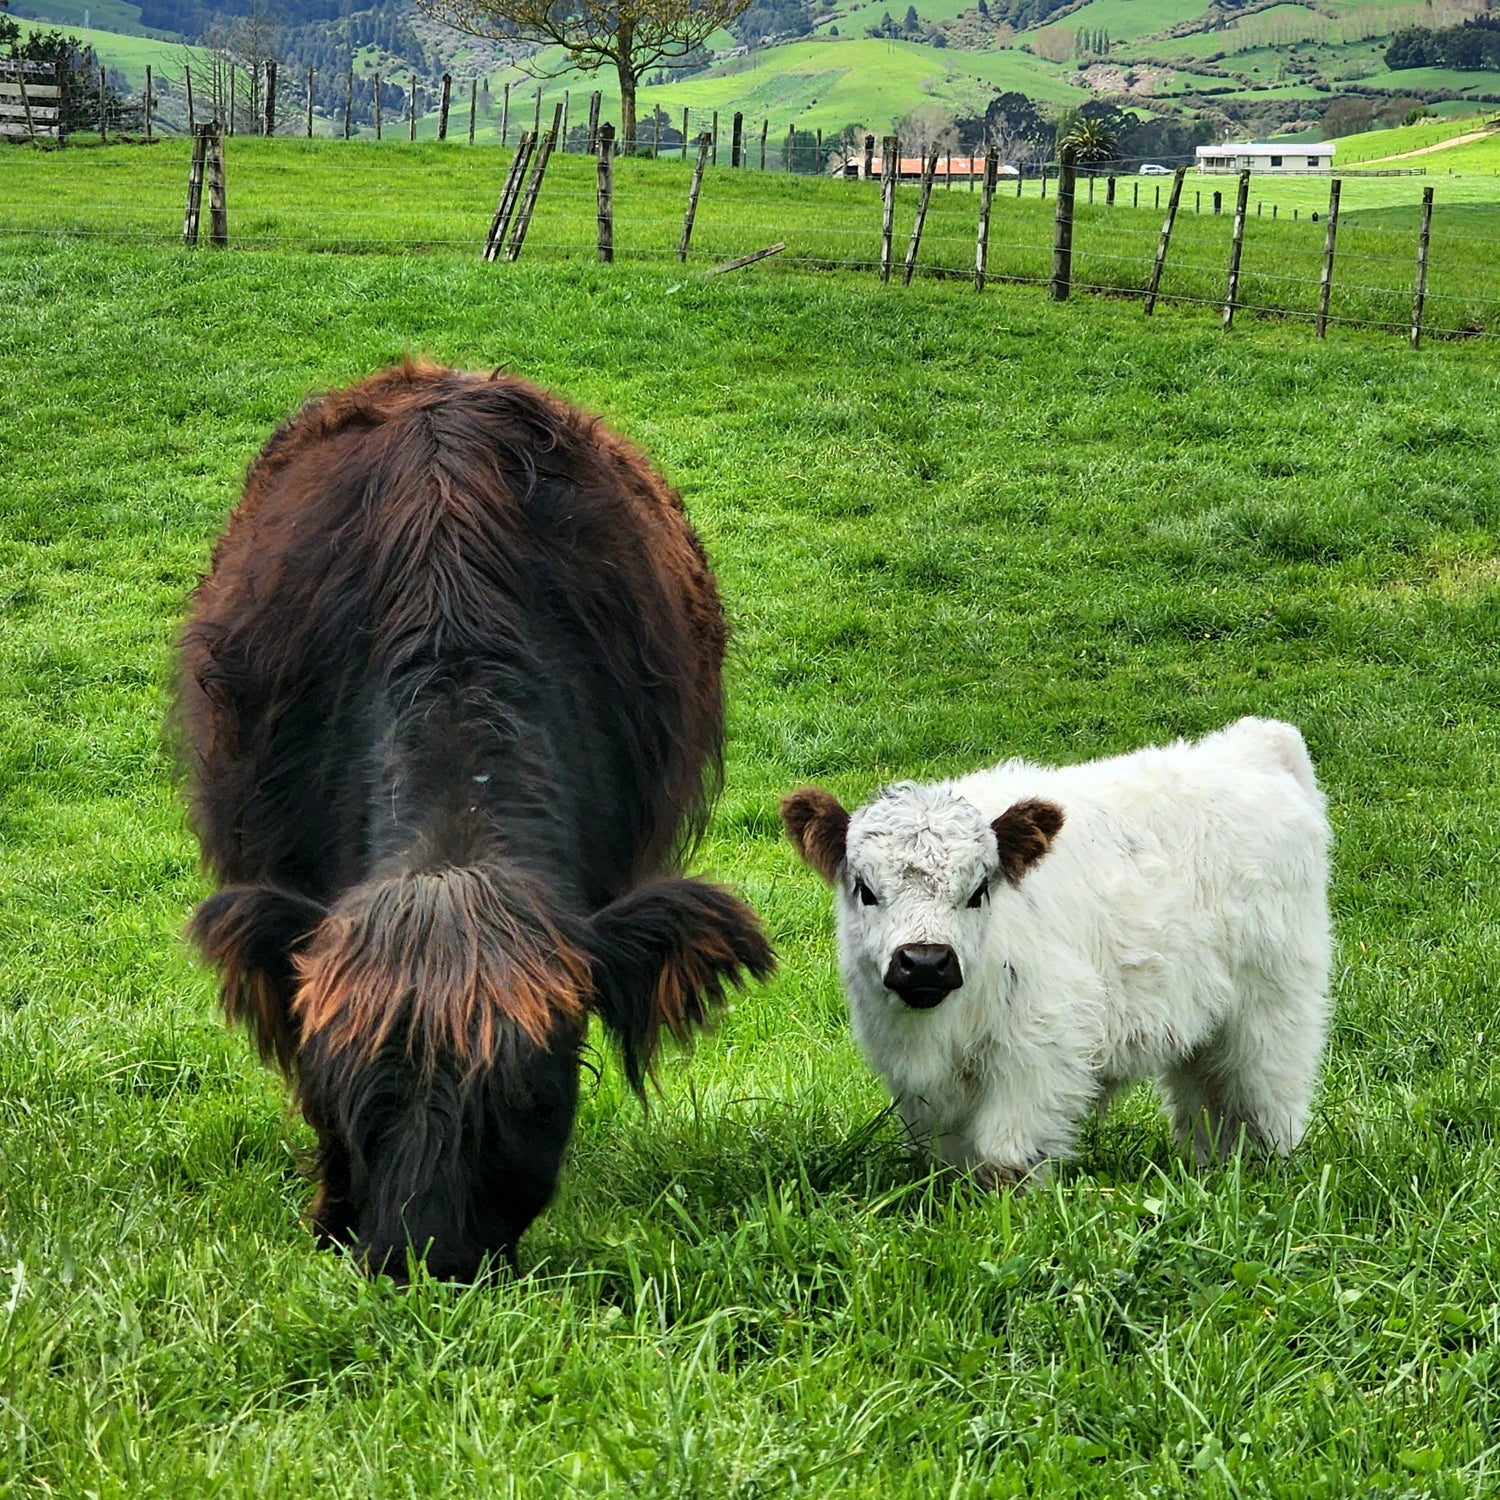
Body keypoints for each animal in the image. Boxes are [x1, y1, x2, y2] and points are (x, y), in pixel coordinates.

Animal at [780, 717, 1332, 1182]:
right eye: (865, 890)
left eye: (978, 891)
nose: (925, 963)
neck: (943, 1028)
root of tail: (1256, 746)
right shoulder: (916, 1081)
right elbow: (944, 1160)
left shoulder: (1040, 1048)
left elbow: (1006, 1155)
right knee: (1206, 1106)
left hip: (1273, 1007)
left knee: (1266, 1099)